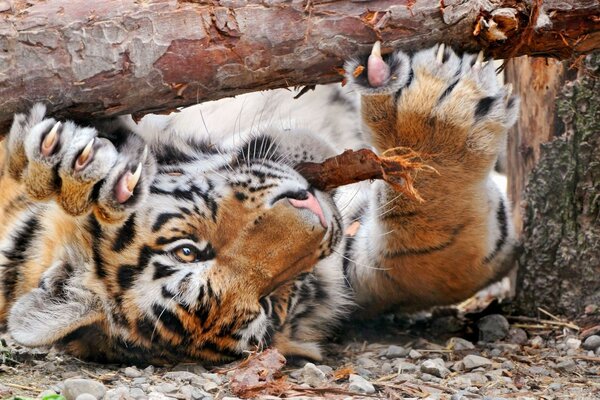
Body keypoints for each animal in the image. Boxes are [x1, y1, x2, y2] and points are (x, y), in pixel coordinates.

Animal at [0, 43, 516, 366]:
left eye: (189, 249)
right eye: (273, 300)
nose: (317, 213)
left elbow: (439, 253)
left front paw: (65, 162)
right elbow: (439, 258)